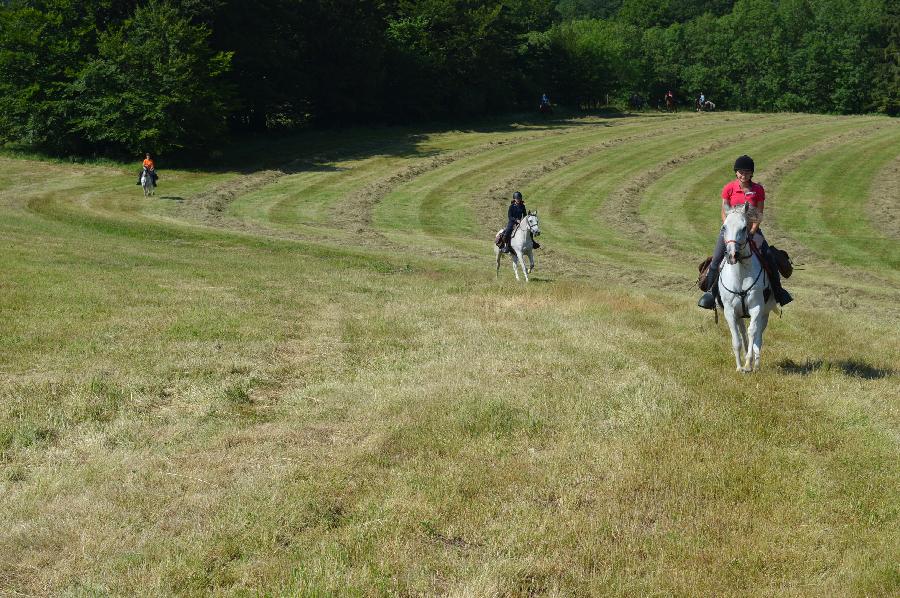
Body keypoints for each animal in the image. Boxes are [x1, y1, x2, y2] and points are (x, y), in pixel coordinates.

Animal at [716, 206, 772, 376]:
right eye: (724, 227)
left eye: (744, 228)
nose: (732, 255)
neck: (740, 273)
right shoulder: (729, 311)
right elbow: (736, 339)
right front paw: (739, 366)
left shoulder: (757, 307)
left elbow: (752, 331)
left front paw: (748, 364)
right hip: (739, 314)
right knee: (742, 332)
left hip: (765, 314)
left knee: (758, 336)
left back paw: (756, 364)